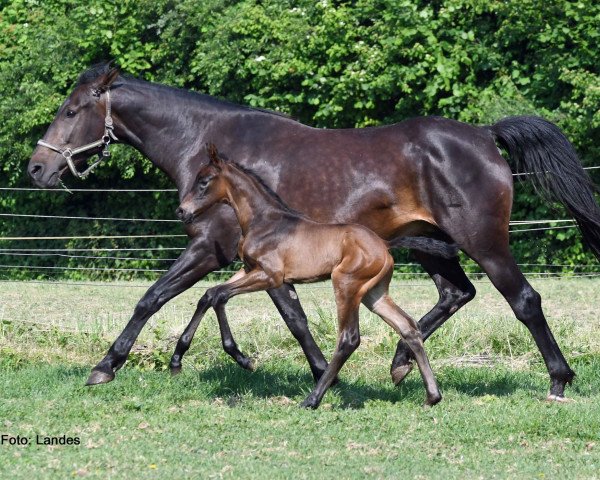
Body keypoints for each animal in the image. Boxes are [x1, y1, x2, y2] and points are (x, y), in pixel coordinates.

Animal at [171, 144, 442, 406]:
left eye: (204, 181)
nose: (182, 211)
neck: (264, 221)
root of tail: (384, 244)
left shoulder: (270, 276)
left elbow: (220, 295)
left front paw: (242, 359)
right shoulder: (248, 270)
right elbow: (209, 295)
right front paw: (177, 360)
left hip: (346, 285)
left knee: (349, 338)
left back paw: (312, 399)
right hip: (374, 294)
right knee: (408, 327)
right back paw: (431, 396)